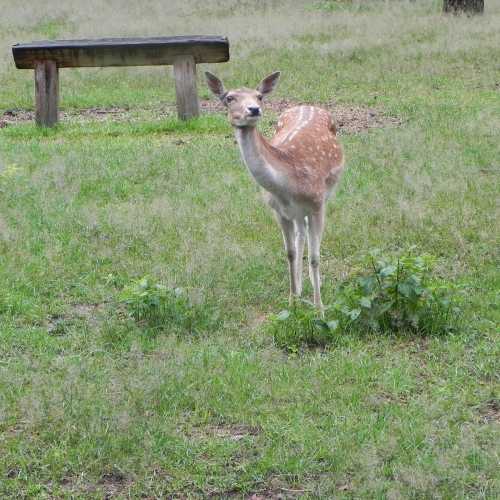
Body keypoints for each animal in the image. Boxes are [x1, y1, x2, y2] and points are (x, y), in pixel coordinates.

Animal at [206, 71, 344, 312]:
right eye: (229, 98)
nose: (253, 109)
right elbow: (290, 253)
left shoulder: (317, 204)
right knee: (300, 236)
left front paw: (319, 308)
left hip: (323, 196)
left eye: (259, 96)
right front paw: (292, 301)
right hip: (296, 213)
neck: (288, 184)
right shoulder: (278, 211)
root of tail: (308, 105)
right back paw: (301, 288)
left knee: (308, 238)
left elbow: (315, 257)